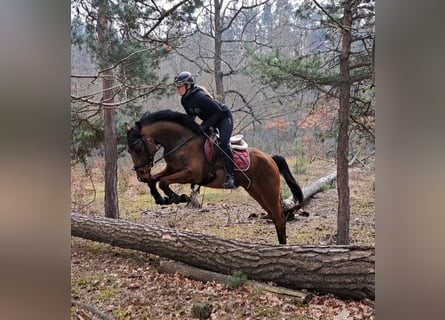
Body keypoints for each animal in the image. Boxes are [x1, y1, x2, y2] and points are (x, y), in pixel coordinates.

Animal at [126, 110, 304, 245]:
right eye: (129, 151)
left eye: (138, 148)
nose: (141, 176)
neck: (181, 142)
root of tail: (271, 159)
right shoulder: (172, 168)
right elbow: (155, 179)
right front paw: (160, 198)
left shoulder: (192, 174)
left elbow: (163, 181)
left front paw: (178, 197)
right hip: (257, 193)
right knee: (275, 216)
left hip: (269, 192)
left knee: (280, 218)